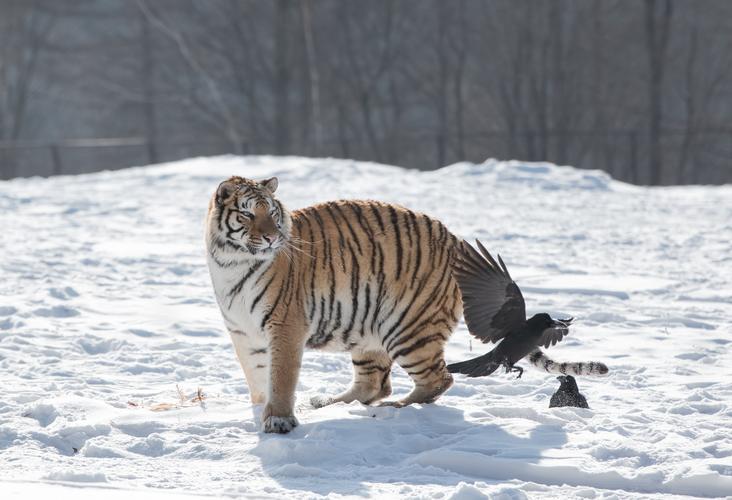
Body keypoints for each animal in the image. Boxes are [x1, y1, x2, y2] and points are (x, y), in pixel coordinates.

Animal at [205, 175, 606, 433]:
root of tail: (455, 240)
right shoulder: (244, 331)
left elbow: (281, 375)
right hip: (367, 331)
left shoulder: (285, 326)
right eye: (247, 214)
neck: (232, 262)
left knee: (437, 379)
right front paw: (261, 411)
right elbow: (259, 376)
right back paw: (329, 403)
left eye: (272, 214)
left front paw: (278, 420)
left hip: (407, 327)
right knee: (373, 385)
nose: (272, 238)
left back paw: (392, 408)